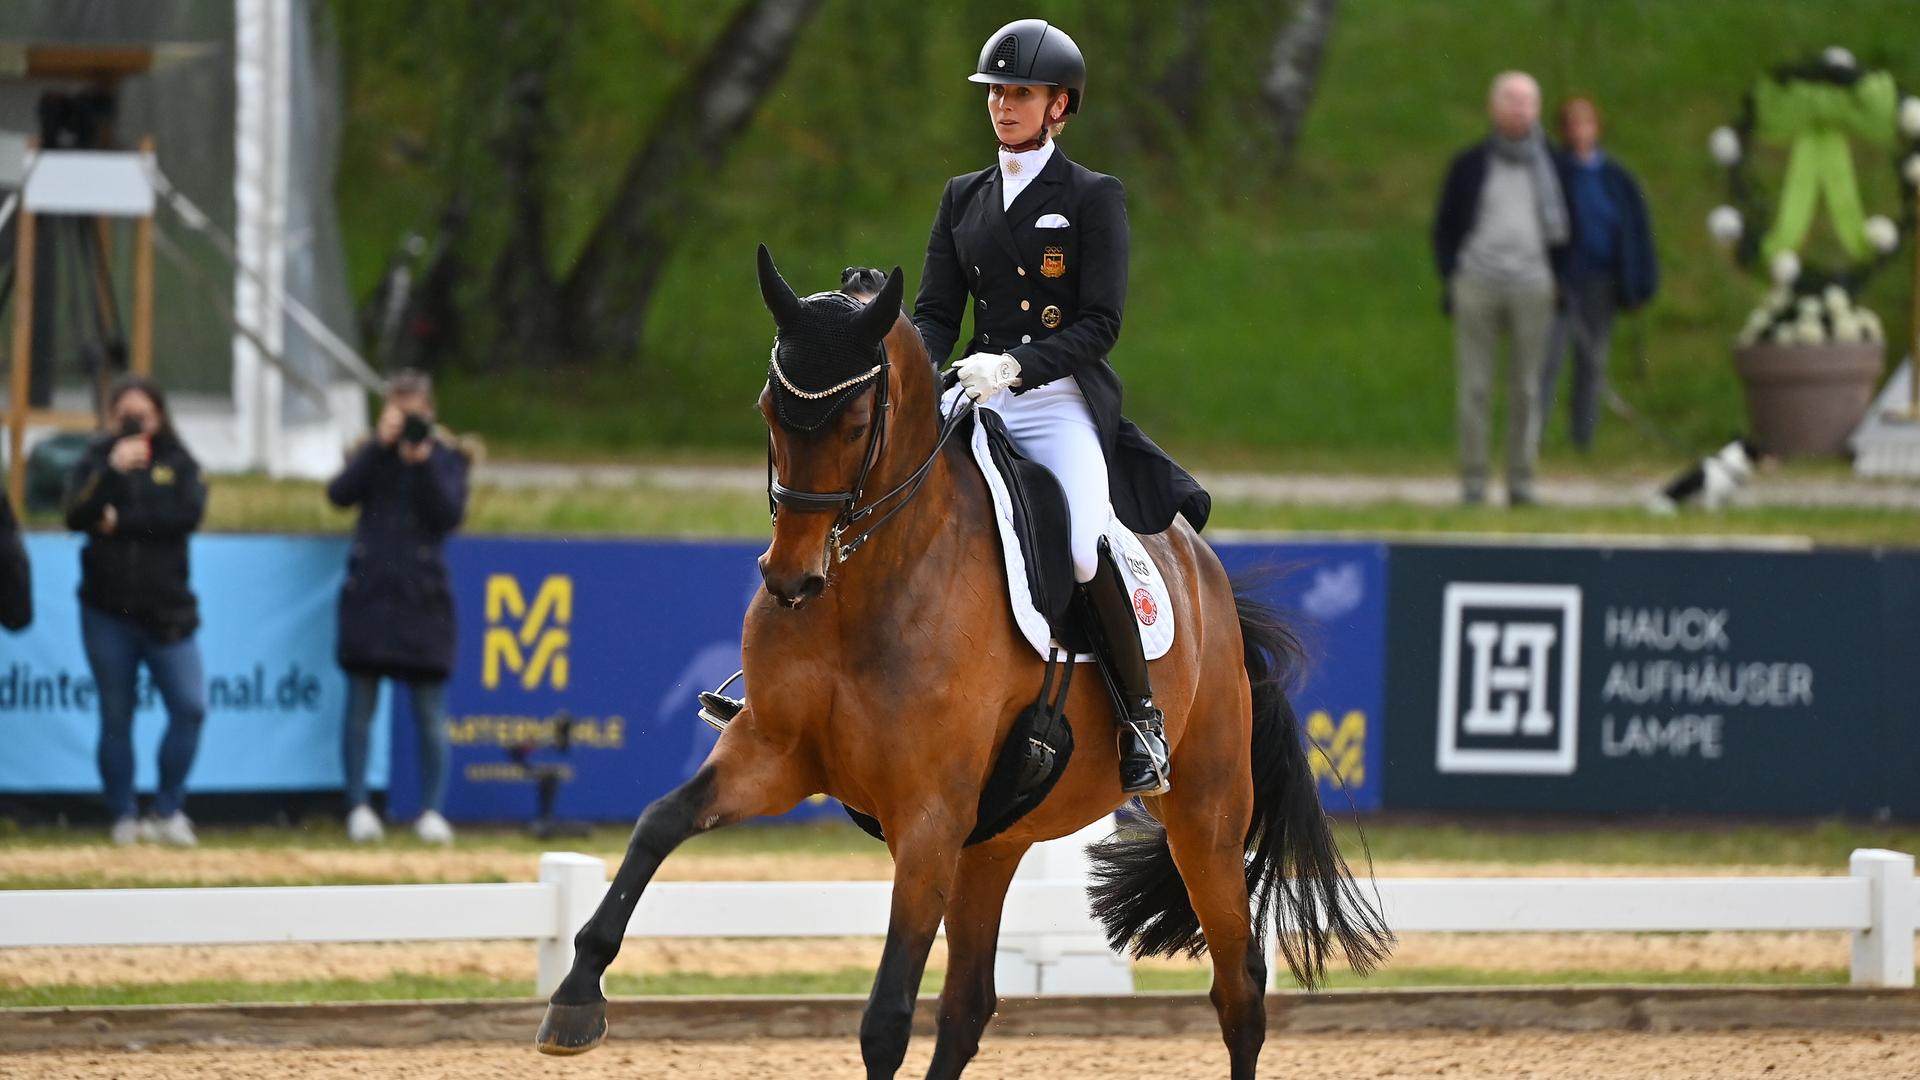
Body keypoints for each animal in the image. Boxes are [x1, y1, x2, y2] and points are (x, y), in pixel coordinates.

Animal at [535, 247, 1392, 1079]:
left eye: (855, 421)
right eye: (769, 411)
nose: (790, 580)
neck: (867, 586)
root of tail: (1208, 572)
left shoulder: (928, 819)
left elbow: (885, 1020)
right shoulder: (776, 755)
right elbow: (659, 822)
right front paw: (575, 998)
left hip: (1205, 816)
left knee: (1239, 989)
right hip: (994, 841)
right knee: (970, 1005)